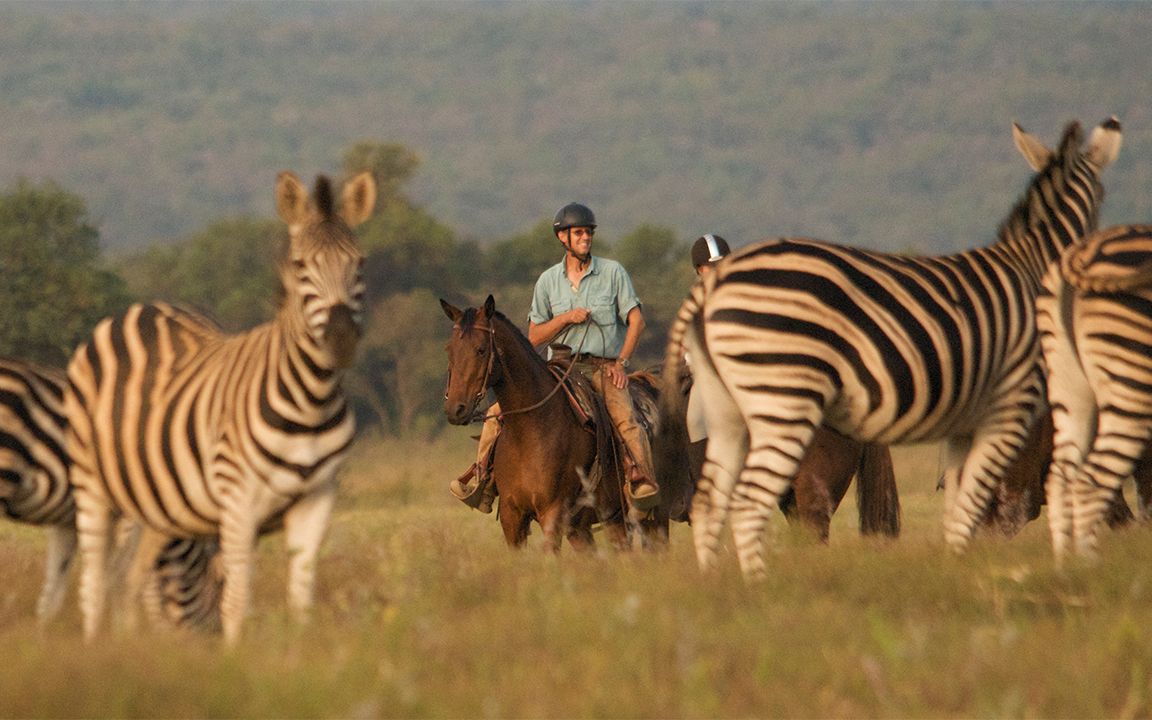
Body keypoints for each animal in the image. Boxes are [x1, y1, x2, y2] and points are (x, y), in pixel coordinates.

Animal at [66, 169, 377, 640]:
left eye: (359, 264)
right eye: (300, 266)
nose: (340, 339)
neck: (311, 401)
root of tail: (140, 309)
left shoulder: (318, 499)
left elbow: (301, 597)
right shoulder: (238, 503)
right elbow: (236, 600)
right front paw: (236, 657)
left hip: (156, 506)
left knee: (130, 580)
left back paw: (133, 646)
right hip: (93, 486)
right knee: (94, 584)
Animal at [1041, 222, 1152, 559]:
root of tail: (1082, 251)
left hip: (1069, 388)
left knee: (1060, 479)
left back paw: (1066, 564)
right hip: (1130, 377)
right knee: (1092, 480)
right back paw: (1091, 565)